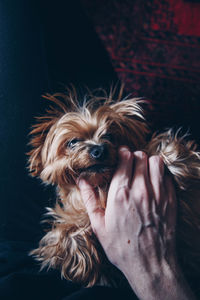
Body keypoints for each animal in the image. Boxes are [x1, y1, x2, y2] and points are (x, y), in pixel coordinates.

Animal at [28, 89, 200, 288]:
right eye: (72, 142)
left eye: (109, 136)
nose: (99, 150)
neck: (102, 186)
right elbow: (64, 233)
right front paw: (79, 257)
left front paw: (174, 161)